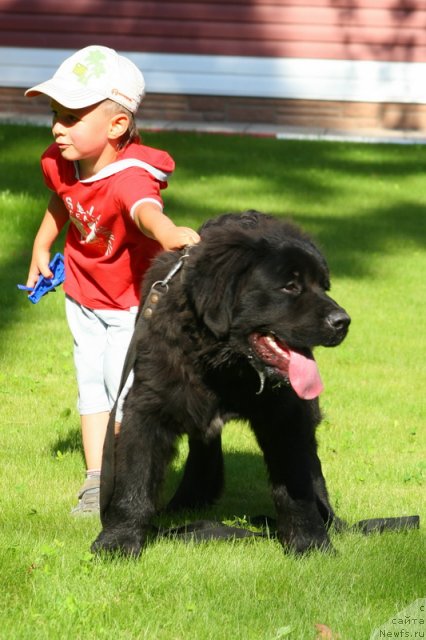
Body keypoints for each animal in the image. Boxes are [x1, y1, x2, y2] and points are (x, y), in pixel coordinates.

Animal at [92, 210, 350, 556]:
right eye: (290, 286)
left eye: (324, 286)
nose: (343, 322)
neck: (222, 367)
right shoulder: (148, 404)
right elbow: (135, 479)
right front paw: (117, 541)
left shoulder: (286, 414)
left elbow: (296, 483)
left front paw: (310, 543)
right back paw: (190, 500)